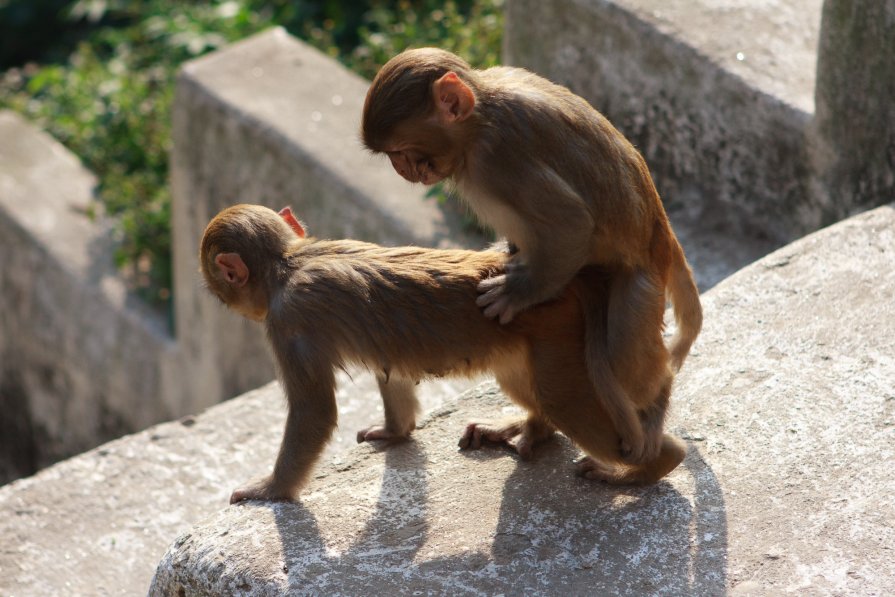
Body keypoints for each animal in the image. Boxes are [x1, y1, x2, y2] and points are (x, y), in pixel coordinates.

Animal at [198, 205, 688, 502]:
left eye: (218, 285)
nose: (222, 300)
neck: (291, 261)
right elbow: (390, 369)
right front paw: (395, 431)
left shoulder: (288, 320)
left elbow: (314, 411)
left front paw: (271, 489)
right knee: (522, 379)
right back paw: (531, 427)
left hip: (556, 328)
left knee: (563, 400)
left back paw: (654, 464)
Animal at [360, 46, 704, 466]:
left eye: (401, 152)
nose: (401, 169)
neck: (478, 121)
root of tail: (660, 229)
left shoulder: (501, 158)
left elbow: (572, 222)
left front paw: (518, 292)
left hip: (640, 280)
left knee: (624, 349)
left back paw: (654, 406)